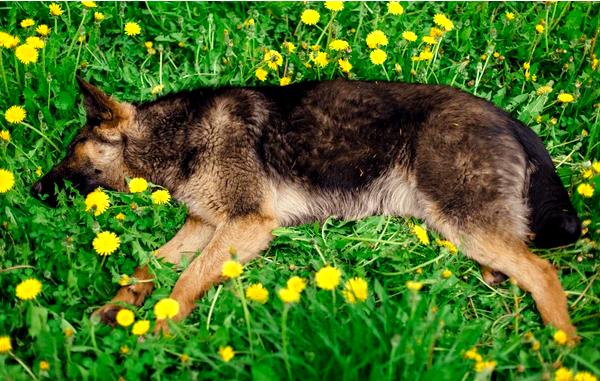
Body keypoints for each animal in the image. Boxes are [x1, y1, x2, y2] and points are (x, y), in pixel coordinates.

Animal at [31, 76, 580, 336]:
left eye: (70, 151)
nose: (33, 191)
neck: (176, 137)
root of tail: (507, 119)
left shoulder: (246, 225)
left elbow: (186, 281)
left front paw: (162, 329)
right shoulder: (203, 224)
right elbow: (148, 267)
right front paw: (120, 307)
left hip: (460, 219)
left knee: (543, 271)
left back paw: (563, 348)